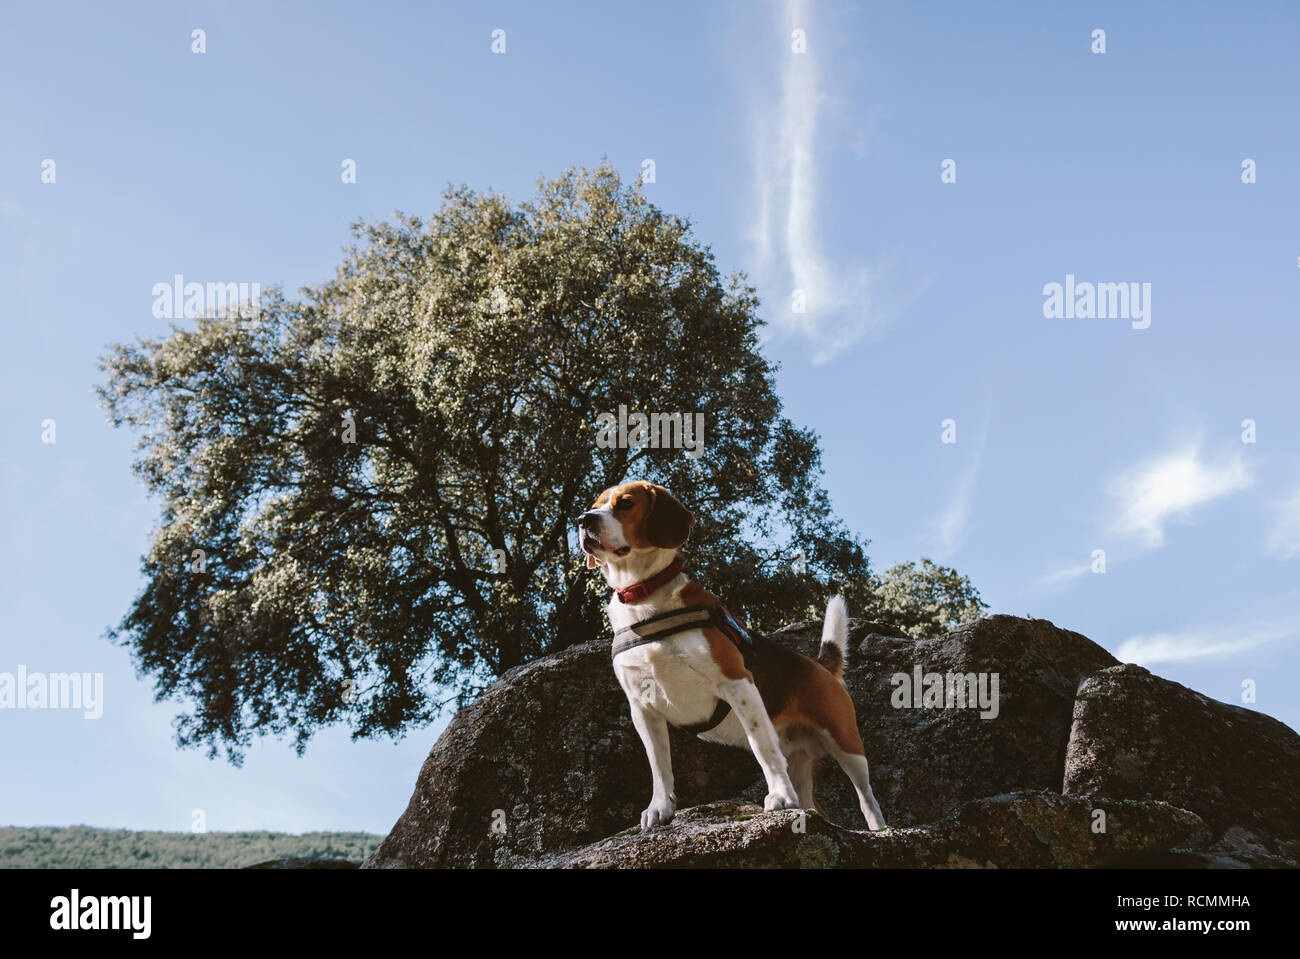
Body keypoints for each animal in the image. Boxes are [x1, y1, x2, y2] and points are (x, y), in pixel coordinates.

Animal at [577, 478, 889, 831]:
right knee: (814, 805)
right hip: (803, 758)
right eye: (595, 504)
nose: (584, 520)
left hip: (846, 742)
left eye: (626, 503)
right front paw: (660, 808)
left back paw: (880, 830)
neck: (645, 598)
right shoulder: (642, 707)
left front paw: (780, 797)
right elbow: (658, 763)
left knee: (866, 796)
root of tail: (818, 664)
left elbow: (762, 746)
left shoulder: (736, 682)